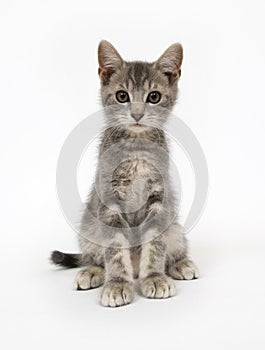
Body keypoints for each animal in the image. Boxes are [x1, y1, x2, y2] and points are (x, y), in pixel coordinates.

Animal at [50, 41, 197, 306]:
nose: (137, 114)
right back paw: (92, 271)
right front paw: (117, 283)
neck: (136, 149)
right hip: (89, 227)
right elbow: (115, 249)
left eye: (153, 97)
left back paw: (180, 264)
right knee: (94, 256)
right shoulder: (109, 200)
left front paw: (155, 278)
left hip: (175, 228)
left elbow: (155, 243)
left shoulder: (159, 199)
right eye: (122, 96)